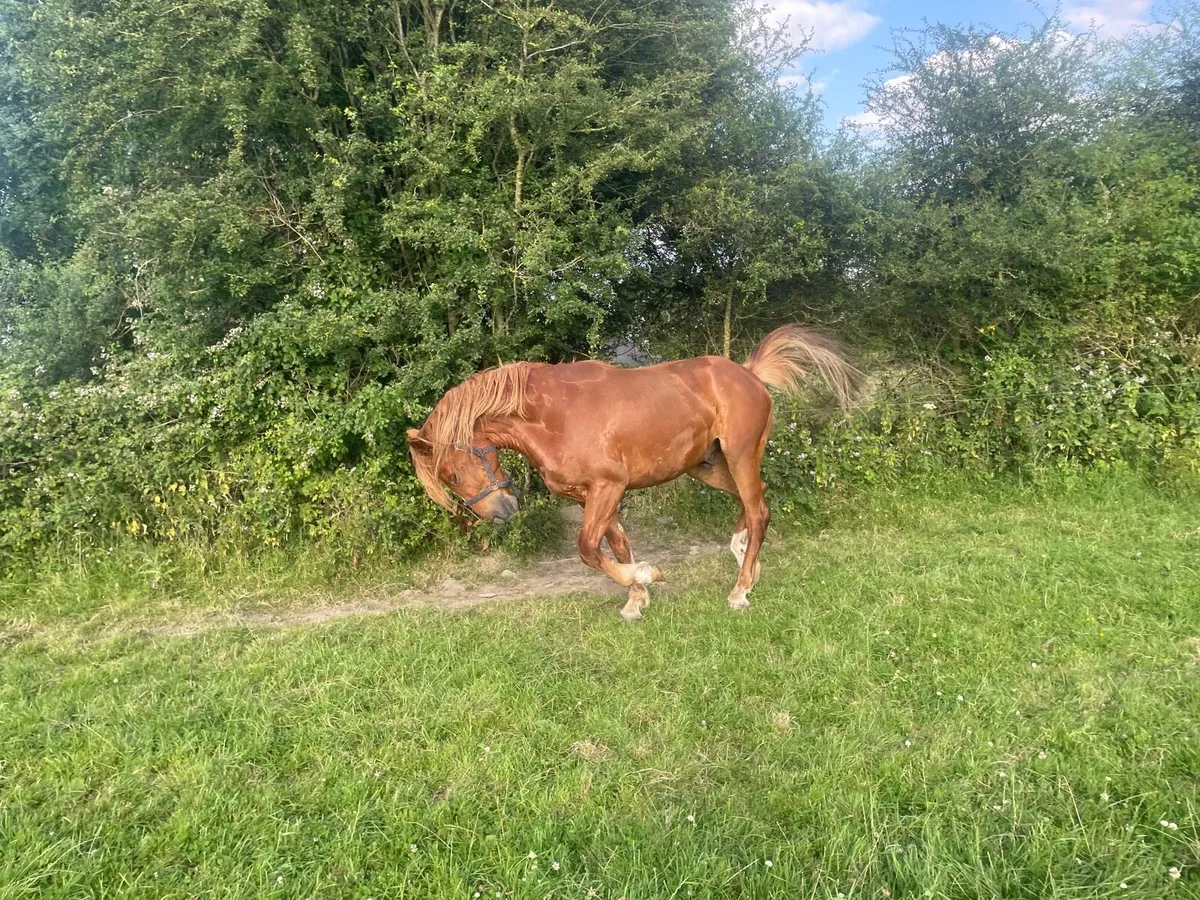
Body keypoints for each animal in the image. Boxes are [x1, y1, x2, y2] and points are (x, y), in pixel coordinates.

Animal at [407, 326, 859, 621]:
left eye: (450, 473)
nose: (501, 514)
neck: (553, 416)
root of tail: (748, 373)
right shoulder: (591, 496)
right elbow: (617, 544)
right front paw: (635, 599)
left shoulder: (608, 487)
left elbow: (589, 549)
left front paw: (646, 575)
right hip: (707, 466)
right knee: (753, 502)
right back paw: (744, 559)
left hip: (741, 455)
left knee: (759, 508)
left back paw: (740, 589)